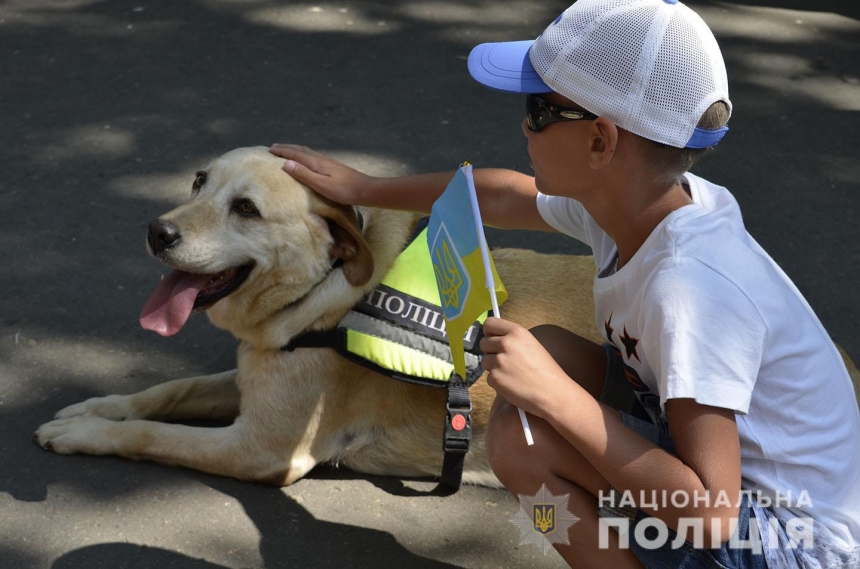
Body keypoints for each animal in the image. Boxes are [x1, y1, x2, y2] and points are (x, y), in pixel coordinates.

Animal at [31, 145, 596, 484]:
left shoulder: (261, 449)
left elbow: (154, 435)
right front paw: (100, 408)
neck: (321, 292)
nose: (157, 232)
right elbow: (172, 389)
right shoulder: (253, 374)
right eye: (198, 182)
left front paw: (86, 434)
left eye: (246, 209)